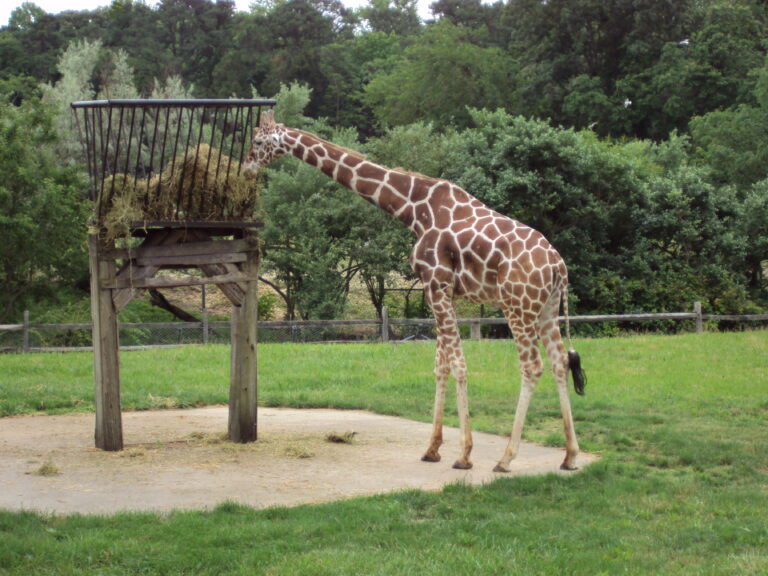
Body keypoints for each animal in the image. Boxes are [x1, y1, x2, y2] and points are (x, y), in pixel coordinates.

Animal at [243, 111, 586, 472]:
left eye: (259, 141)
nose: (247, 168)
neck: (413, 208)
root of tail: (559, 267)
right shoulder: (441, 291)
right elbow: (440, 366)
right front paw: (432, 448)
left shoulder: (436, 283)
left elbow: (458, 364)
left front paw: (464, 455)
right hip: (547, 309)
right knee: (559, 362)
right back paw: (569, 456)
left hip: (517, 305)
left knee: (532, 366)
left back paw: (506, 458)